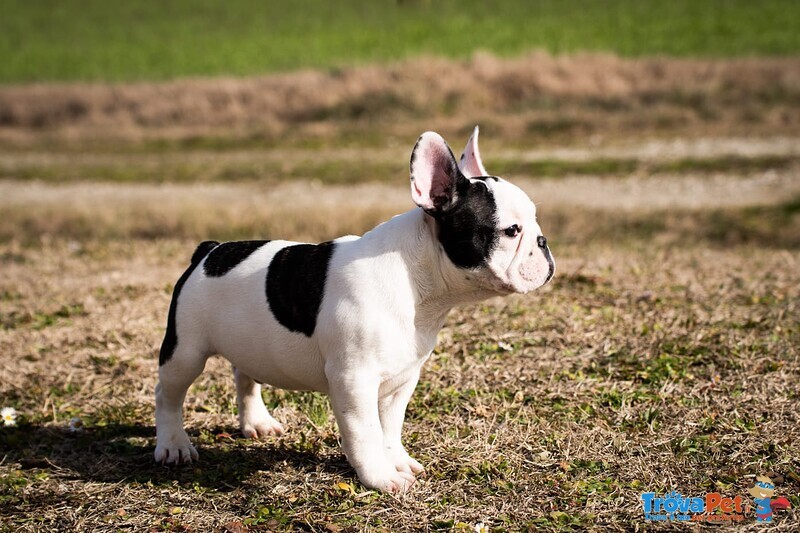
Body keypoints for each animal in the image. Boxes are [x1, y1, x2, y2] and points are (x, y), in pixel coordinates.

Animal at [156, 128, 556, 490]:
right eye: (511, 231)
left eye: (536, 223)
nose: (543, 241)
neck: (417, 279)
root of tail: (210, 250)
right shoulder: (354, 380)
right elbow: (365, 432)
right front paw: (380, 477)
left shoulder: (402, 379)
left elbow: (390, 427)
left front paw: (397, 460)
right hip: (186, 350)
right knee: (168, 394)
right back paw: (174, 445)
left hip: (249, 342)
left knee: (244, 374)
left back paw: (257, 423)